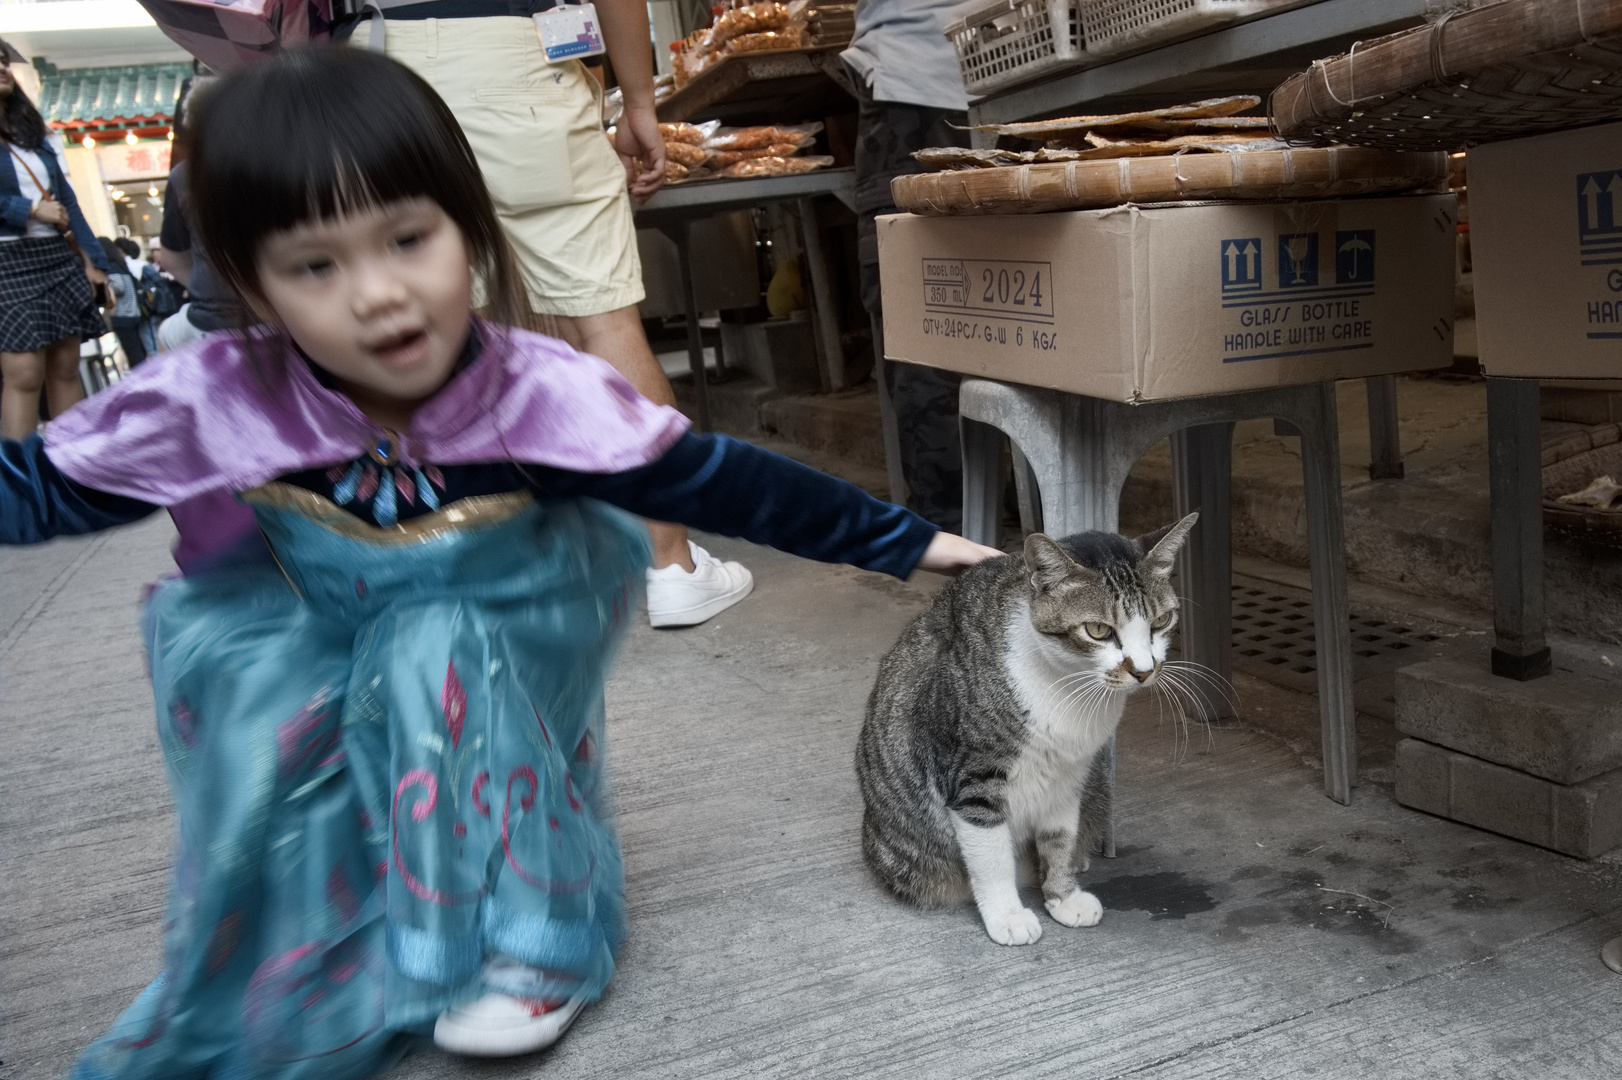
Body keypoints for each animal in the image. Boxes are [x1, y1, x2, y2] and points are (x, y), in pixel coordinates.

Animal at [856, 512, 1200, 940]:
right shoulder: (974, 779)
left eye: (1161, 621)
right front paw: (1007, 916)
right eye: (1098, 630)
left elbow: (1059, 839)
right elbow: (992, 858)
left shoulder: (1069, 775)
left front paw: (1062, 896)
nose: (1143, 671)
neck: (1070, 688)